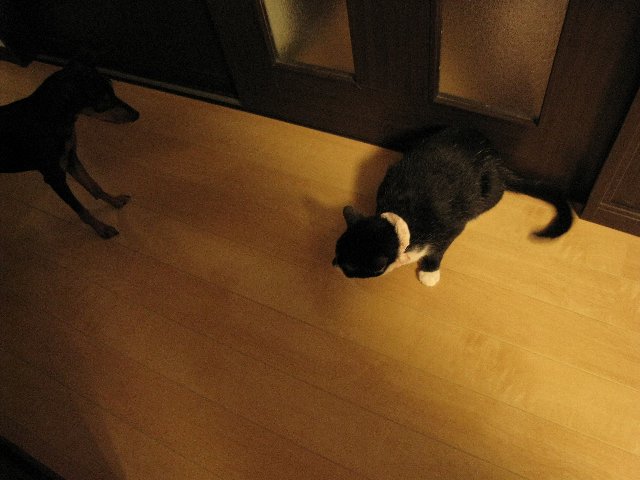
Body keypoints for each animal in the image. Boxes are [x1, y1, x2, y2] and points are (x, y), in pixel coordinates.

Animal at [0, 57, 139, 238]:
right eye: (104, 101)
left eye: (113, 91)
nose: (137, 115)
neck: (47, 119)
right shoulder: (54, 177)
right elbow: (81, 209)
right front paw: (102, 229)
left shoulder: (71, 158)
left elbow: (94, 186)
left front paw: (115, 200)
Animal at [332, 127, 573, 286]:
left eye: (350, 269)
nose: (333, 263)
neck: (403, 215)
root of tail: (498, 162)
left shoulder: (449, 227)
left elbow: (439, 248)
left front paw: (430, 272)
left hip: (487, 192)